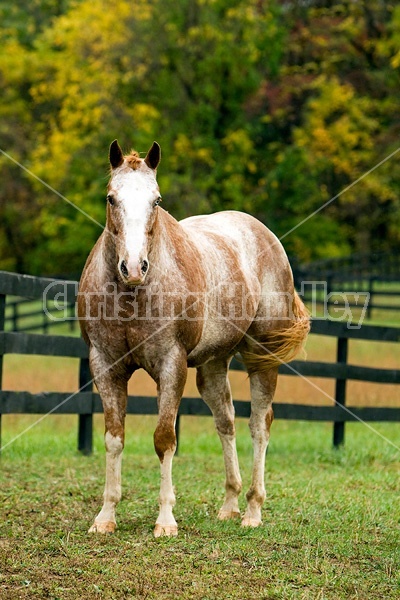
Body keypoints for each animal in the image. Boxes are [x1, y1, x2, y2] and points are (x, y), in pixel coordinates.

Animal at [78, 141, 310, 540]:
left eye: (156, 200)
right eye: (111, 198)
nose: (134, 268)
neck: (132, 297)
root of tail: (265, 235)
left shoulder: (172, 365)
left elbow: (164, 439)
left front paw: (165, 520)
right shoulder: (105, 365)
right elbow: (114, 437)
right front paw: (105, 517)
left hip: (260, 358)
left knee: (259, 425)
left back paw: (253, 510)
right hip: (213, 365)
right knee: (226, 421)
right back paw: (230, 504)